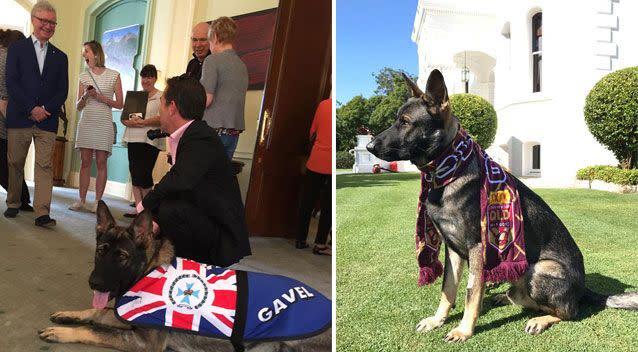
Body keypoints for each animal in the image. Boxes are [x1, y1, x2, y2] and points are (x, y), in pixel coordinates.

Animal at [38, 201, 330, 352]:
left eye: (121, 256)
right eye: (101, 251)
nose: (94, 283)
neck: (148, 269)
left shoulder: (145, 342)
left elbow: (95, 328)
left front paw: (63, 332)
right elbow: (100, 312)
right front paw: (70, 314)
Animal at [368, 70, 636, 342]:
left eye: (405, 122)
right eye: (397, 120)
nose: (369, 146)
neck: (450, 169)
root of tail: (583, 288)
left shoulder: (476, 247)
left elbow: (471, 292)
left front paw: (464, 330)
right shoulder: (452, 249)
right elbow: (448, 288)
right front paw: (437, 320)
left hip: (540, 269)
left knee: (569, 312)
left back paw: (540, 319)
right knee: (522, 298)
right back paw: (505, 297)